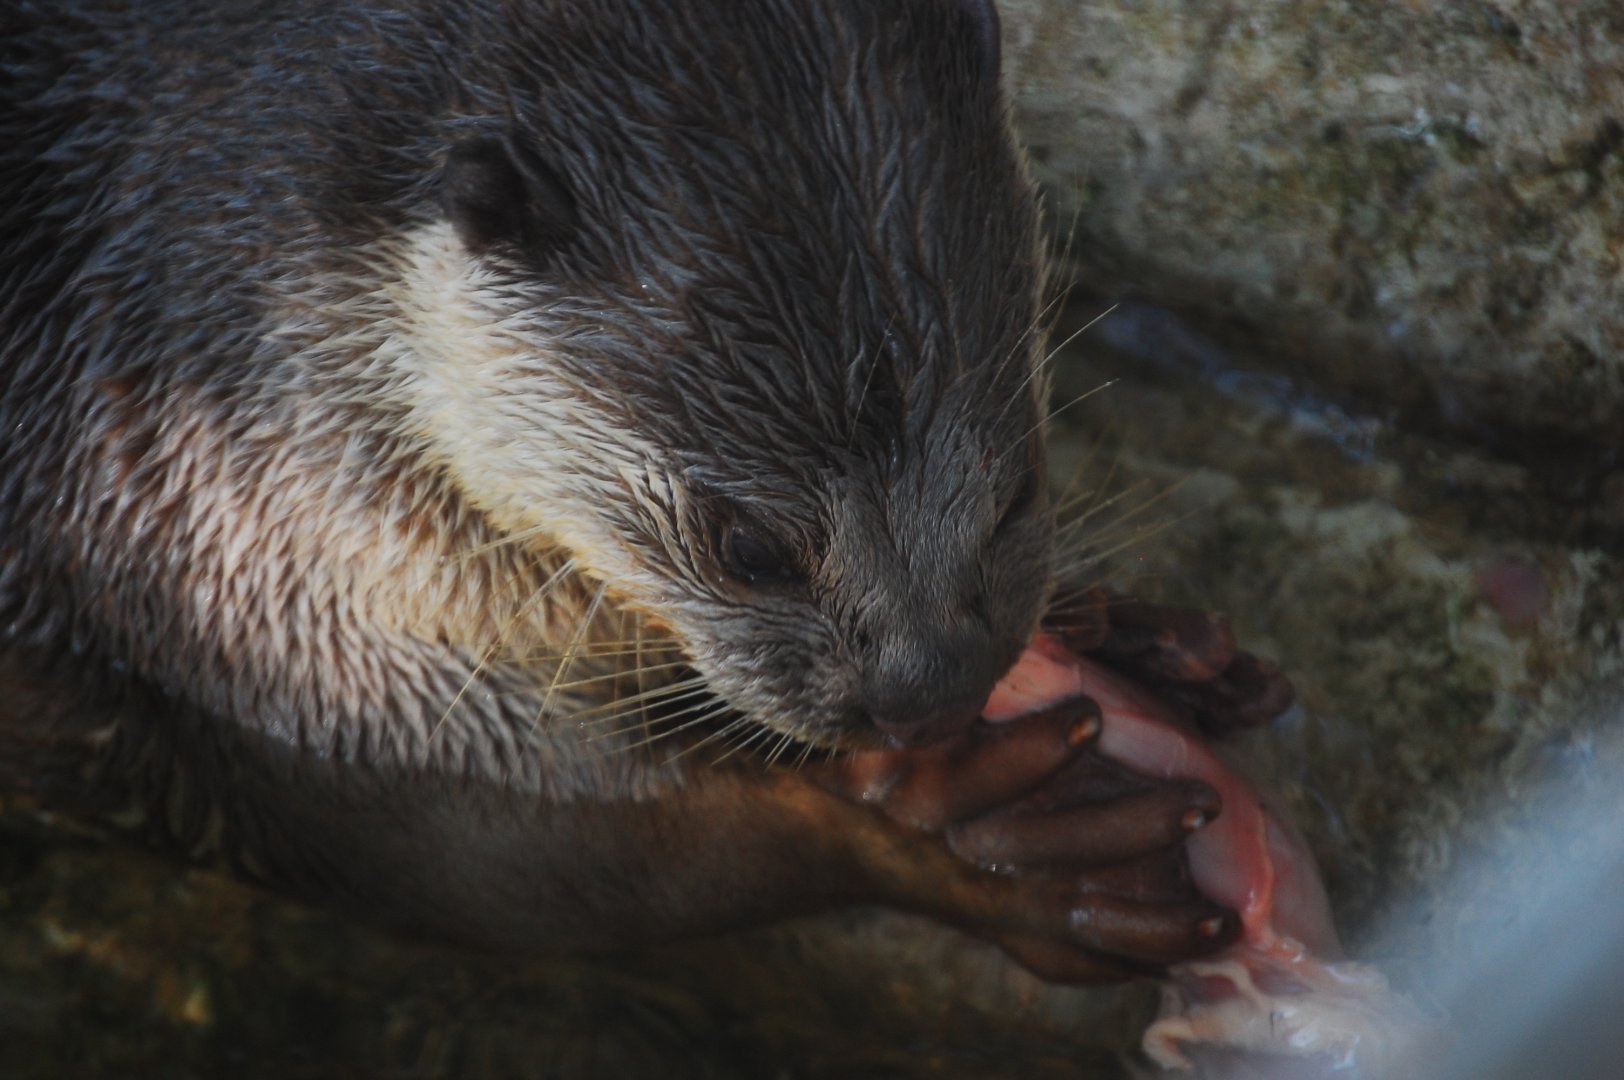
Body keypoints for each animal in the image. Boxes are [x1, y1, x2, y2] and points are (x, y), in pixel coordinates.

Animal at [1, 0, 1281, 984]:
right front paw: (967, 835)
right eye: (749, 546)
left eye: (1017, 489)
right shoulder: (233, 581)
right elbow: (505, 847)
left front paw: (1143, 639)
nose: (930, 696)